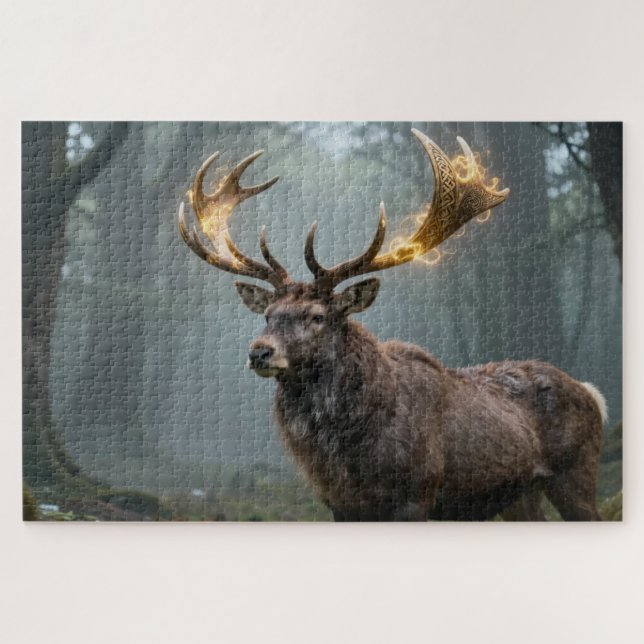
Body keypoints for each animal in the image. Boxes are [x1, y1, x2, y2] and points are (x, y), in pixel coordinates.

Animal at [178, 129, 606, 521]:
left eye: (317, 316)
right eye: (268, 315)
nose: (260, 352)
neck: (349, 454)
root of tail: (592, 395)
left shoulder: (415, 494)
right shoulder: (340, 505)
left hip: (576, 473)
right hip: (518, 496)